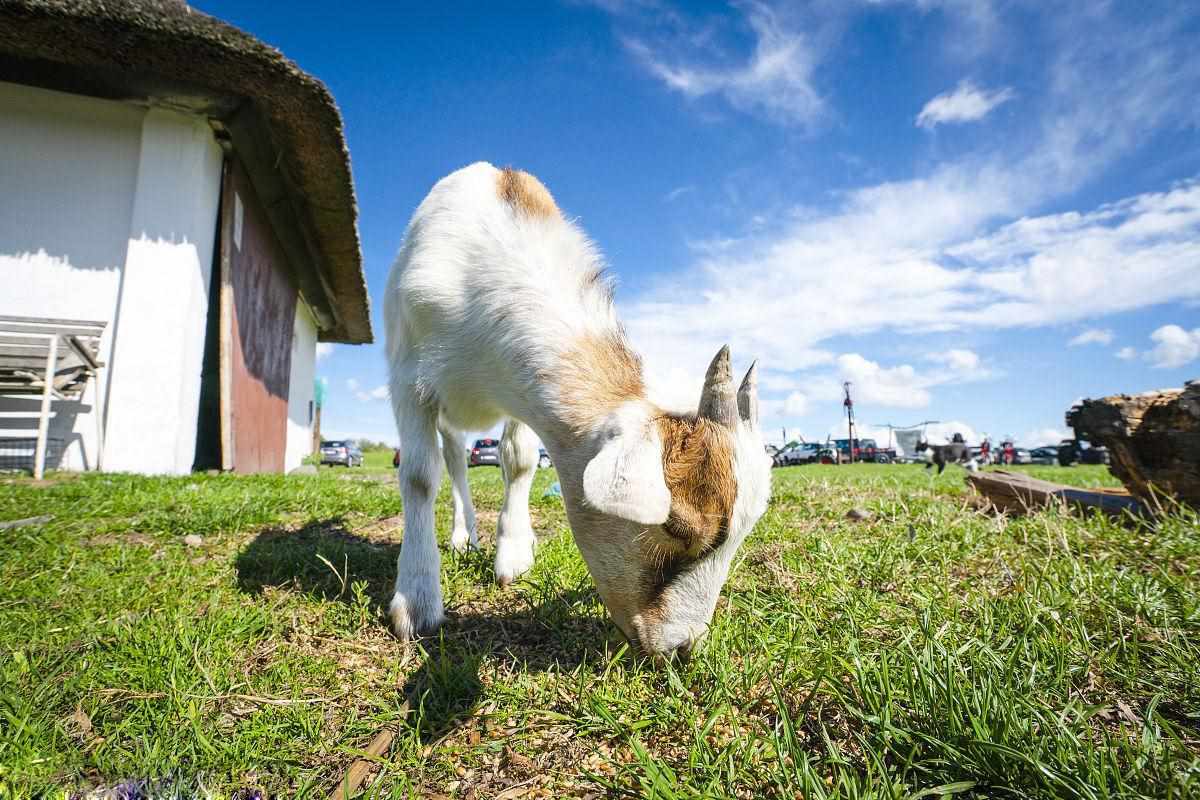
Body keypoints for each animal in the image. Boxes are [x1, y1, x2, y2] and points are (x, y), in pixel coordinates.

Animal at [388, 163, 772, 657]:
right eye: (676, 528)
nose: (683, 647)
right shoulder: (407, 379)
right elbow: (419, 476)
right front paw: (416, 601)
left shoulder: (522, 394)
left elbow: (519, 461)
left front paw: (513, 554)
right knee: (453, 462)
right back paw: (462, 536)